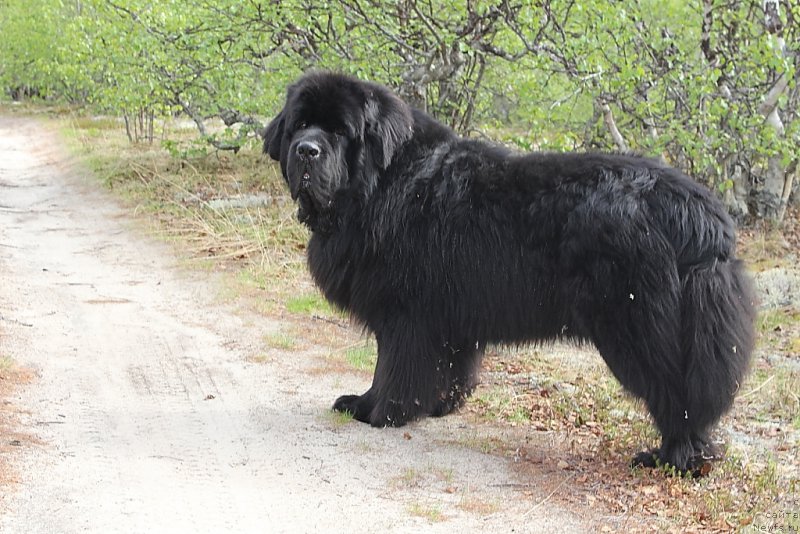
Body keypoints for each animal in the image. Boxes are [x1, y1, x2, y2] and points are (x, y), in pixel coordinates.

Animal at [264, 71, 756, 478]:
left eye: (339, 131)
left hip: (637, 326)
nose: (306, 150)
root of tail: (702, 215)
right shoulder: (450, 318)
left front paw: (375, 410)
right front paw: (437, 407)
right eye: (298, 126)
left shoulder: (404, 315)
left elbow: (391, 369)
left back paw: (673, 459)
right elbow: (451, 369)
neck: (380, 184)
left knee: (679, 397)